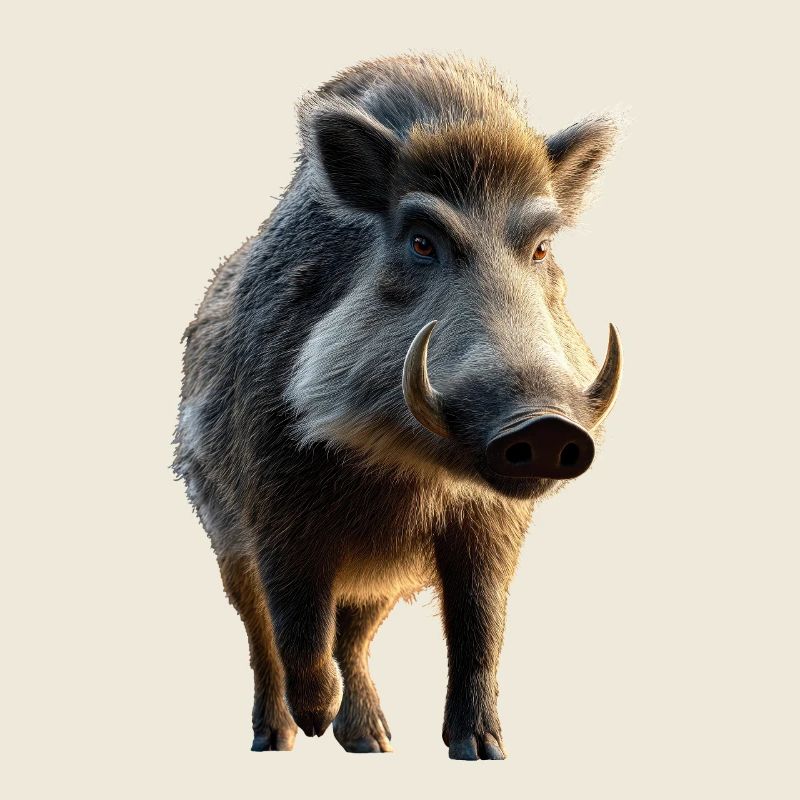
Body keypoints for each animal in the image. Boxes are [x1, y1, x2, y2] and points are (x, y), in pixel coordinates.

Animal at [174, 54, 622, 760]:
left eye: (543, 247)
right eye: (420, 242)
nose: (546, 425)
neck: (405, 472)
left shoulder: (491, 520)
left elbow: (481, 623)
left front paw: (483, 751)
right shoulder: (272, 495)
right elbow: (295, 614)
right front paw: (314, 718)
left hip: (380, 580)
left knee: (355, 634)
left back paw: (372, 742)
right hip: (220, 533)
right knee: (261, 634)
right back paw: (281, 738)